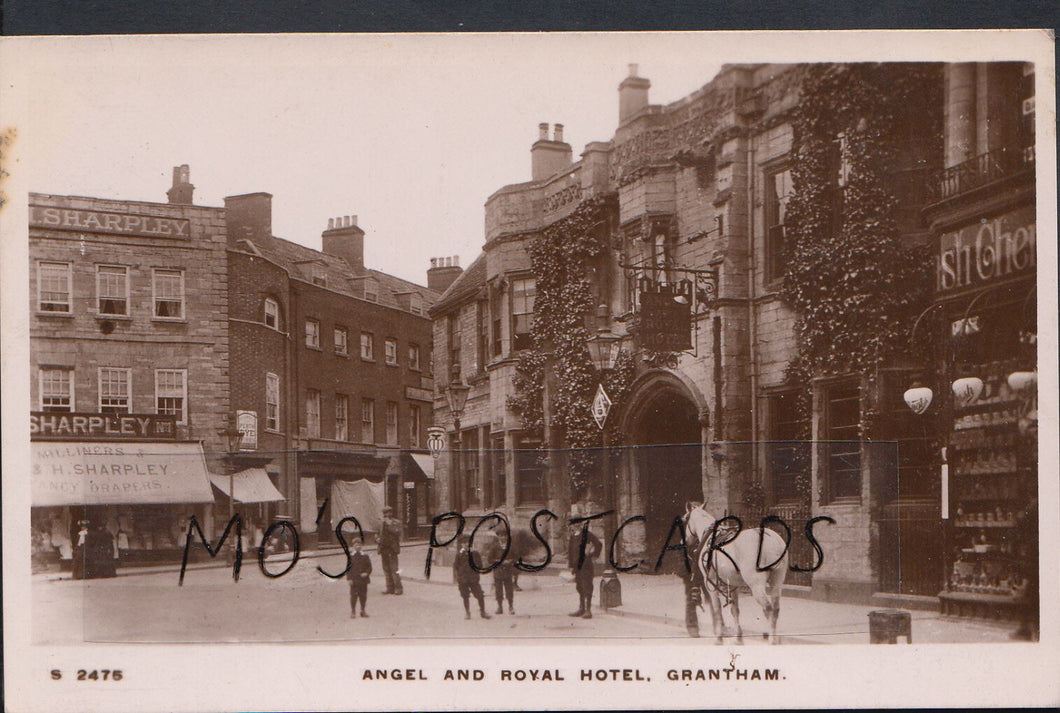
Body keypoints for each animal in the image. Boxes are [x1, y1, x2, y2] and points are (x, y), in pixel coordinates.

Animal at [686, 500, 788, 644]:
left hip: (756, 585)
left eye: (685, 519)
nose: (684, 541)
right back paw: (776, 639)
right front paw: (739, 637)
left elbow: (717, 610)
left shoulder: (711, 584)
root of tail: (771, 542)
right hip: (777, 581)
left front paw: (719, 638)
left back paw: (772, 640)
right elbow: (735, 610)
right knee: (775, 609)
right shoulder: (733, 584)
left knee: (768, 608)